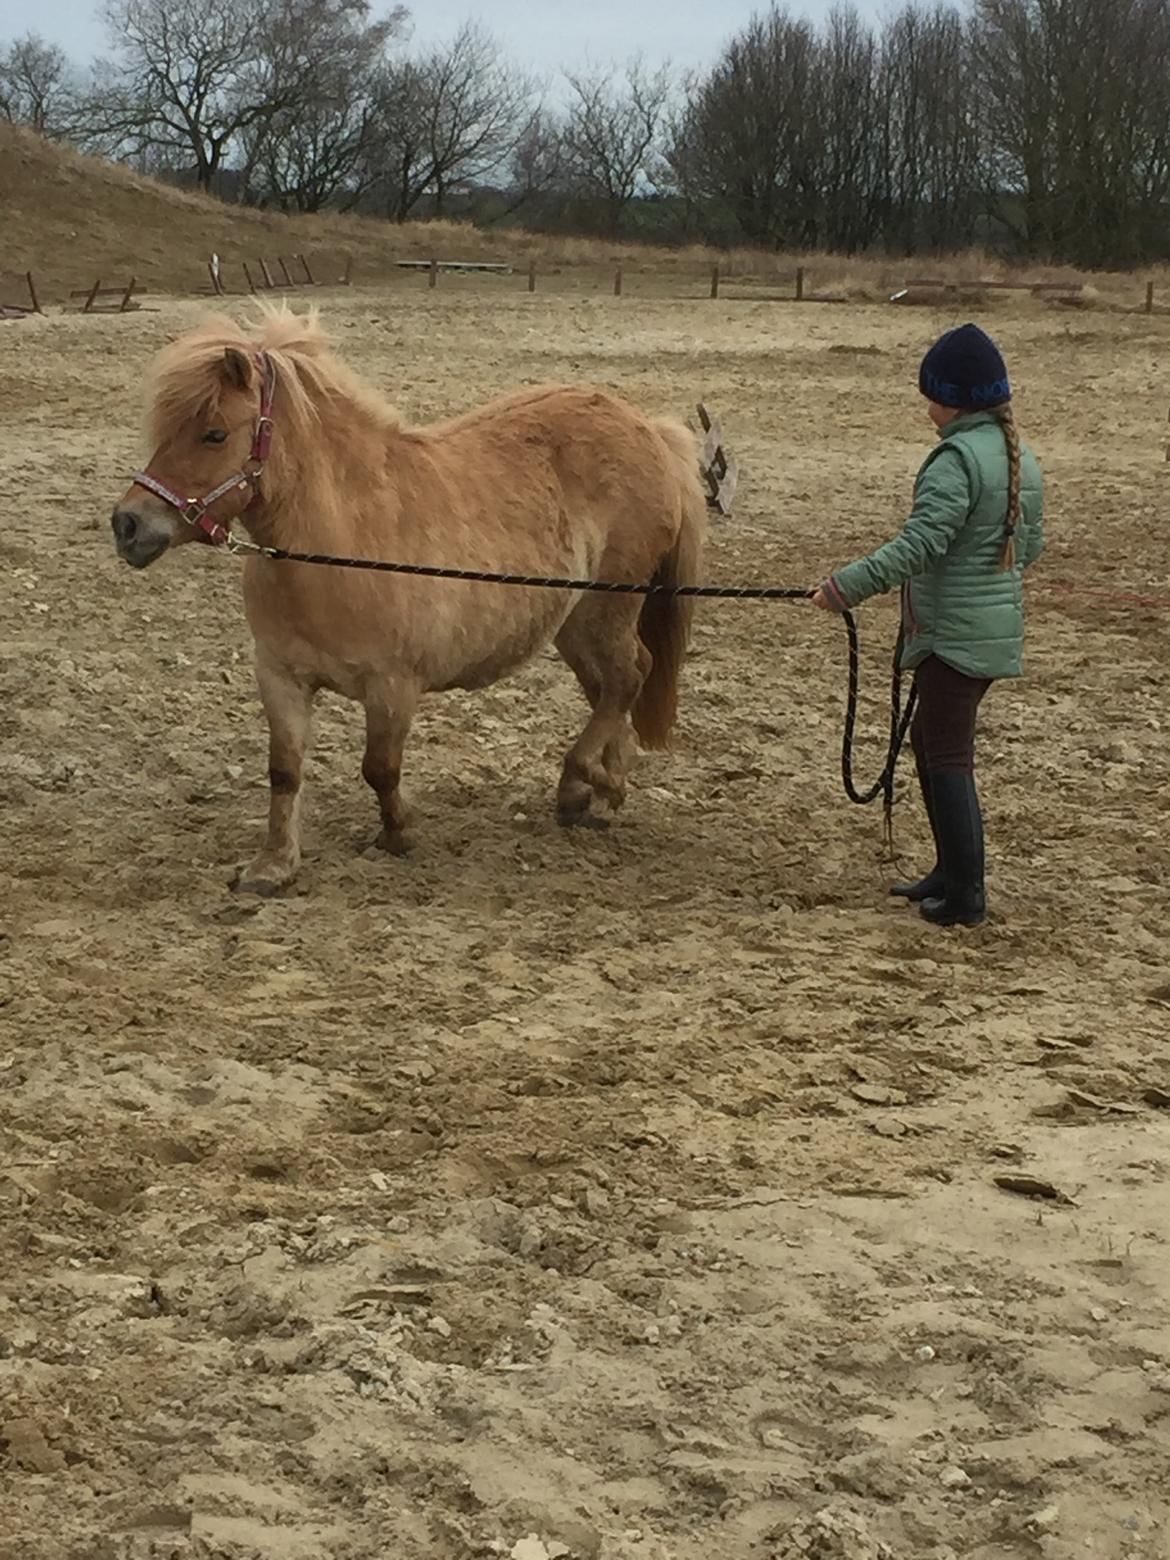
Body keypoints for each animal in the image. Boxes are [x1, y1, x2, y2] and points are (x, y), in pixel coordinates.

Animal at [114, 307, 711, 892]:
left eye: (214, 434)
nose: (127, 525)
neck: (341, 543)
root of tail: (649, 430)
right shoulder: (280, 677)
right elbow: (284, 771)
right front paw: (274, 865)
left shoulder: (393, 686)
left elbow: (379, 767)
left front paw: (398, 832)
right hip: (572, 622)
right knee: (607, 688)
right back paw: (603, 788)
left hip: (605, 610)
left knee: (629, 676)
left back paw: (579, 783)